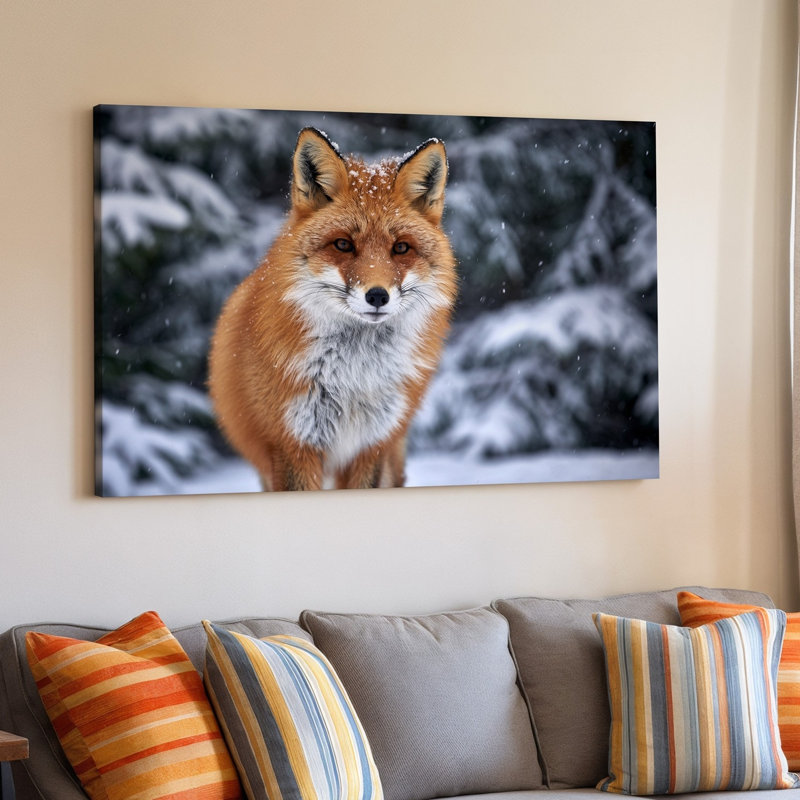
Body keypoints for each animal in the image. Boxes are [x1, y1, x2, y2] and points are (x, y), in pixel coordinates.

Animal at [208, 127, 458, 491]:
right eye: (343, 244)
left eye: (401, 248)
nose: (378, 296)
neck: (354, 379)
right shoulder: (292, 445)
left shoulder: (371, 447)